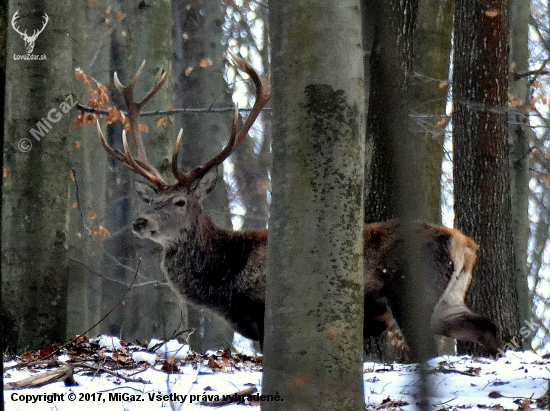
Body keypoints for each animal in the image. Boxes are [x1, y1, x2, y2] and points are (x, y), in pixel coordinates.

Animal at [90, 54, 500, 358]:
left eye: (178, 201)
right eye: (151, 199)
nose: (140, 222)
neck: (226, 278)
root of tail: (466, 244)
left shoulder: (265, 315)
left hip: (411, 292)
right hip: (448, 301)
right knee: (487, 327)